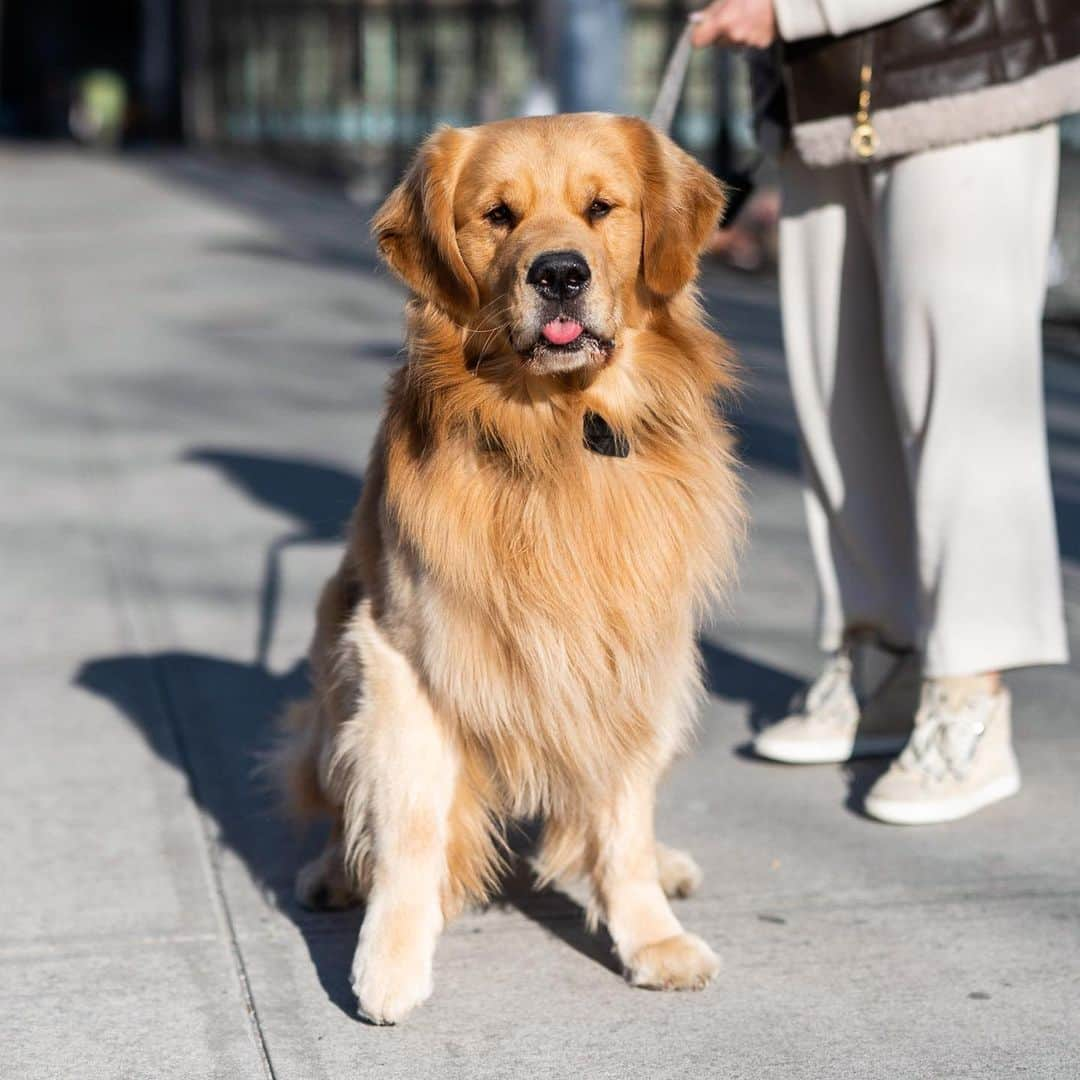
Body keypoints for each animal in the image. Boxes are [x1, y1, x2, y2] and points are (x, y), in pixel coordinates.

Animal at [274, 113, 743, 1023]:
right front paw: (390, 960)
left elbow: (623, 827)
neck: (556, 433)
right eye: (498, 215)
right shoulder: (402, 656)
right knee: (347, 802)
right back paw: (334, 874)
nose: (559, 273)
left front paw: (651, 937)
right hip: (335, 669)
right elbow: (410, 824)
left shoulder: (630, 657)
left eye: (602, 208)